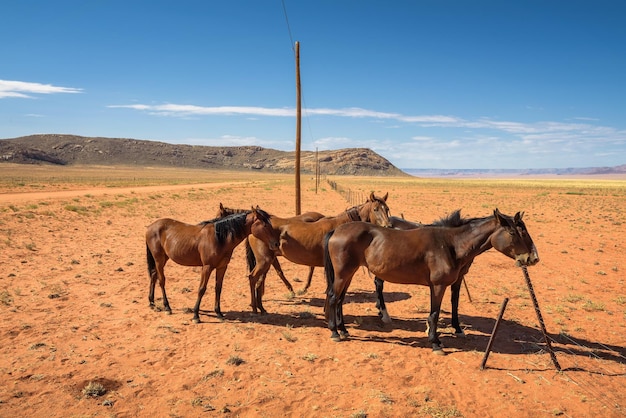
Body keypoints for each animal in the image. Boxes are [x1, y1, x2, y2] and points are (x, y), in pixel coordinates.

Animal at [146, 207, 278, 322]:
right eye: (265, 225)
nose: (276, 244)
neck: (219, 238)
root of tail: (151, 226)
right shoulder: (207, 267)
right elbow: (202, 289)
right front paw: (196, 315)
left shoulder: (222, 267)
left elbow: (218, 288)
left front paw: (218, 313)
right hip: (159, 259)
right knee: (161, 280)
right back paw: (167, 307)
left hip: (163, 258)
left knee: (153, 275)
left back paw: (152, 303)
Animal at [245, 193, 390, 314]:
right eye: (375, 209)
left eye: (387, 209)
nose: (387, 226)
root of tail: (253, 227)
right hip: (264, 261)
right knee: (253, 278)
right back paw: (255, 307)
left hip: (267, 261)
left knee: (260, 281)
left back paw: (261, 307)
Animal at [322, 207, 536, 354]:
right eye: (514, 233)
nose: (533, 257)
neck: (451, 245)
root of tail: (336, 231)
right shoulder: (438, 286)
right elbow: (434, 313)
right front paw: (435, 342)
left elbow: (450, 306)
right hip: (342, 274)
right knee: (333, 297)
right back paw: (335, 332)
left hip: (348, 273)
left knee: (340, 299)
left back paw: (343, 330)